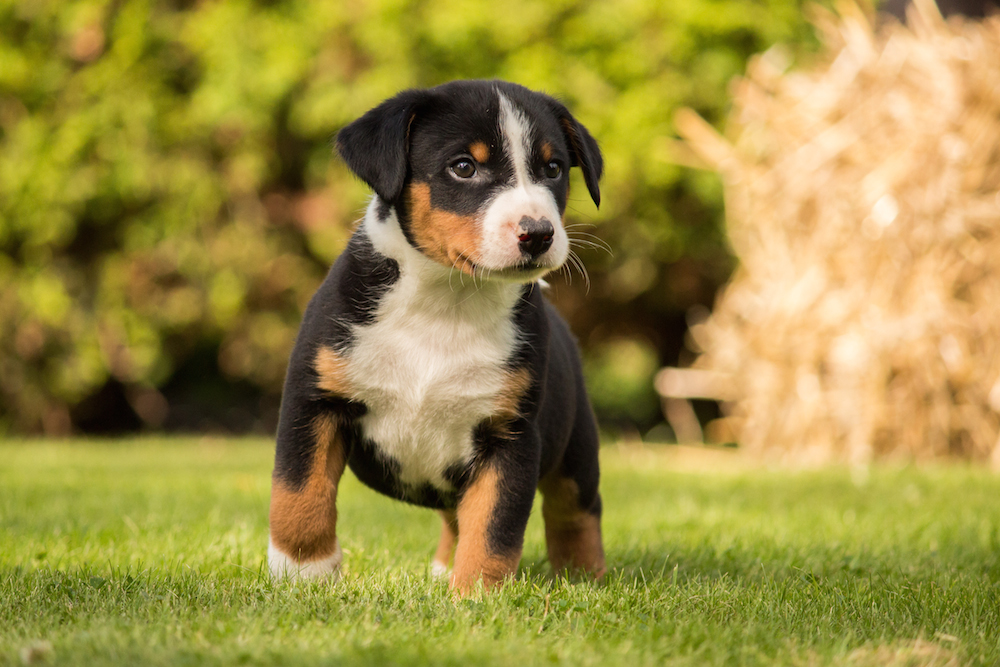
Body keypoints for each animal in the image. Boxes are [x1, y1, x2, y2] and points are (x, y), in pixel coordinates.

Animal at [270, 79, 604, 596]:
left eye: (552, 169)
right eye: (463, 167)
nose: (538, 234)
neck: (447, 304)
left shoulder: (510, 434)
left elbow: (494, 527)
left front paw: (477, 597)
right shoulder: (314, 400)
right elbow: (299, 494)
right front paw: (303, 572)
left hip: (576, 451)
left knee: (576, 513)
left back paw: (585, 582)